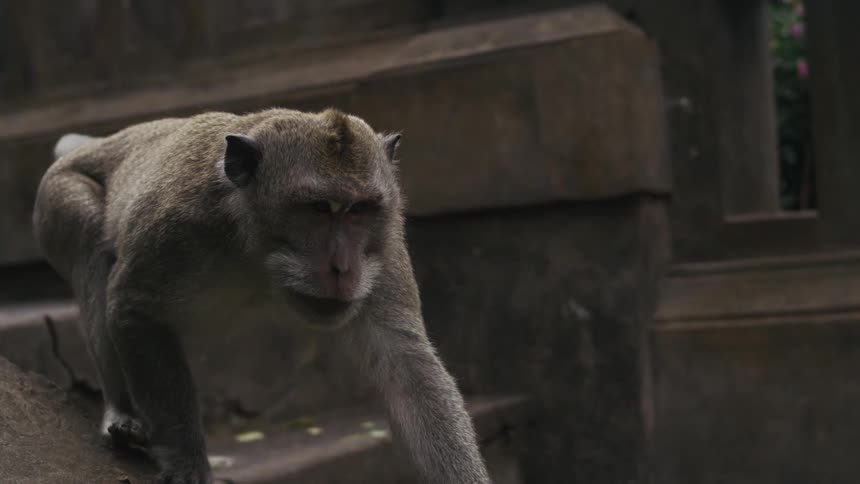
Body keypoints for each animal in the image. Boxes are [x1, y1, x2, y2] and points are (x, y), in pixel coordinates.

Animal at [32, 108, 491, 484]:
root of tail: (101, 142)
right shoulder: (175, 227)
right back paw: (121, 411)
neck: (256, 245)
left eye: (359, 210)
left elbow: (406, 364)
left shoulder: (384, 245)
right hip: (59, 196)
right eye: (319, 208)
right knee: (91, 248)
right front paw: (186, 460)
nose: (343, 268)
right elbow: (134, 308)